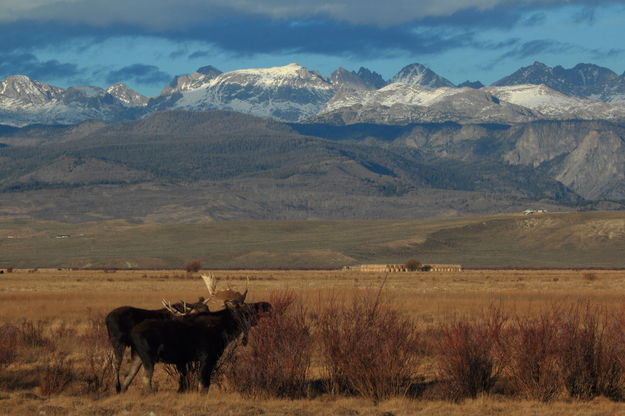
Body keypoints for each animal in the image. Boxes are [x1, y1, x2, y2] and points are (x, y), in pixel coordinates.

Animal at [119, 300, 270, 392]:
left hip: (137, 357)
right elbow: (204, 384)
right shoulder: (207, 357)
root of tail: (131, 334)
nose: (267, 305)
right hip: (148, 357)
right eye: (246, 309)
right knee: (145, 378)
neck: (224, 329)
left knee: (128, 377)